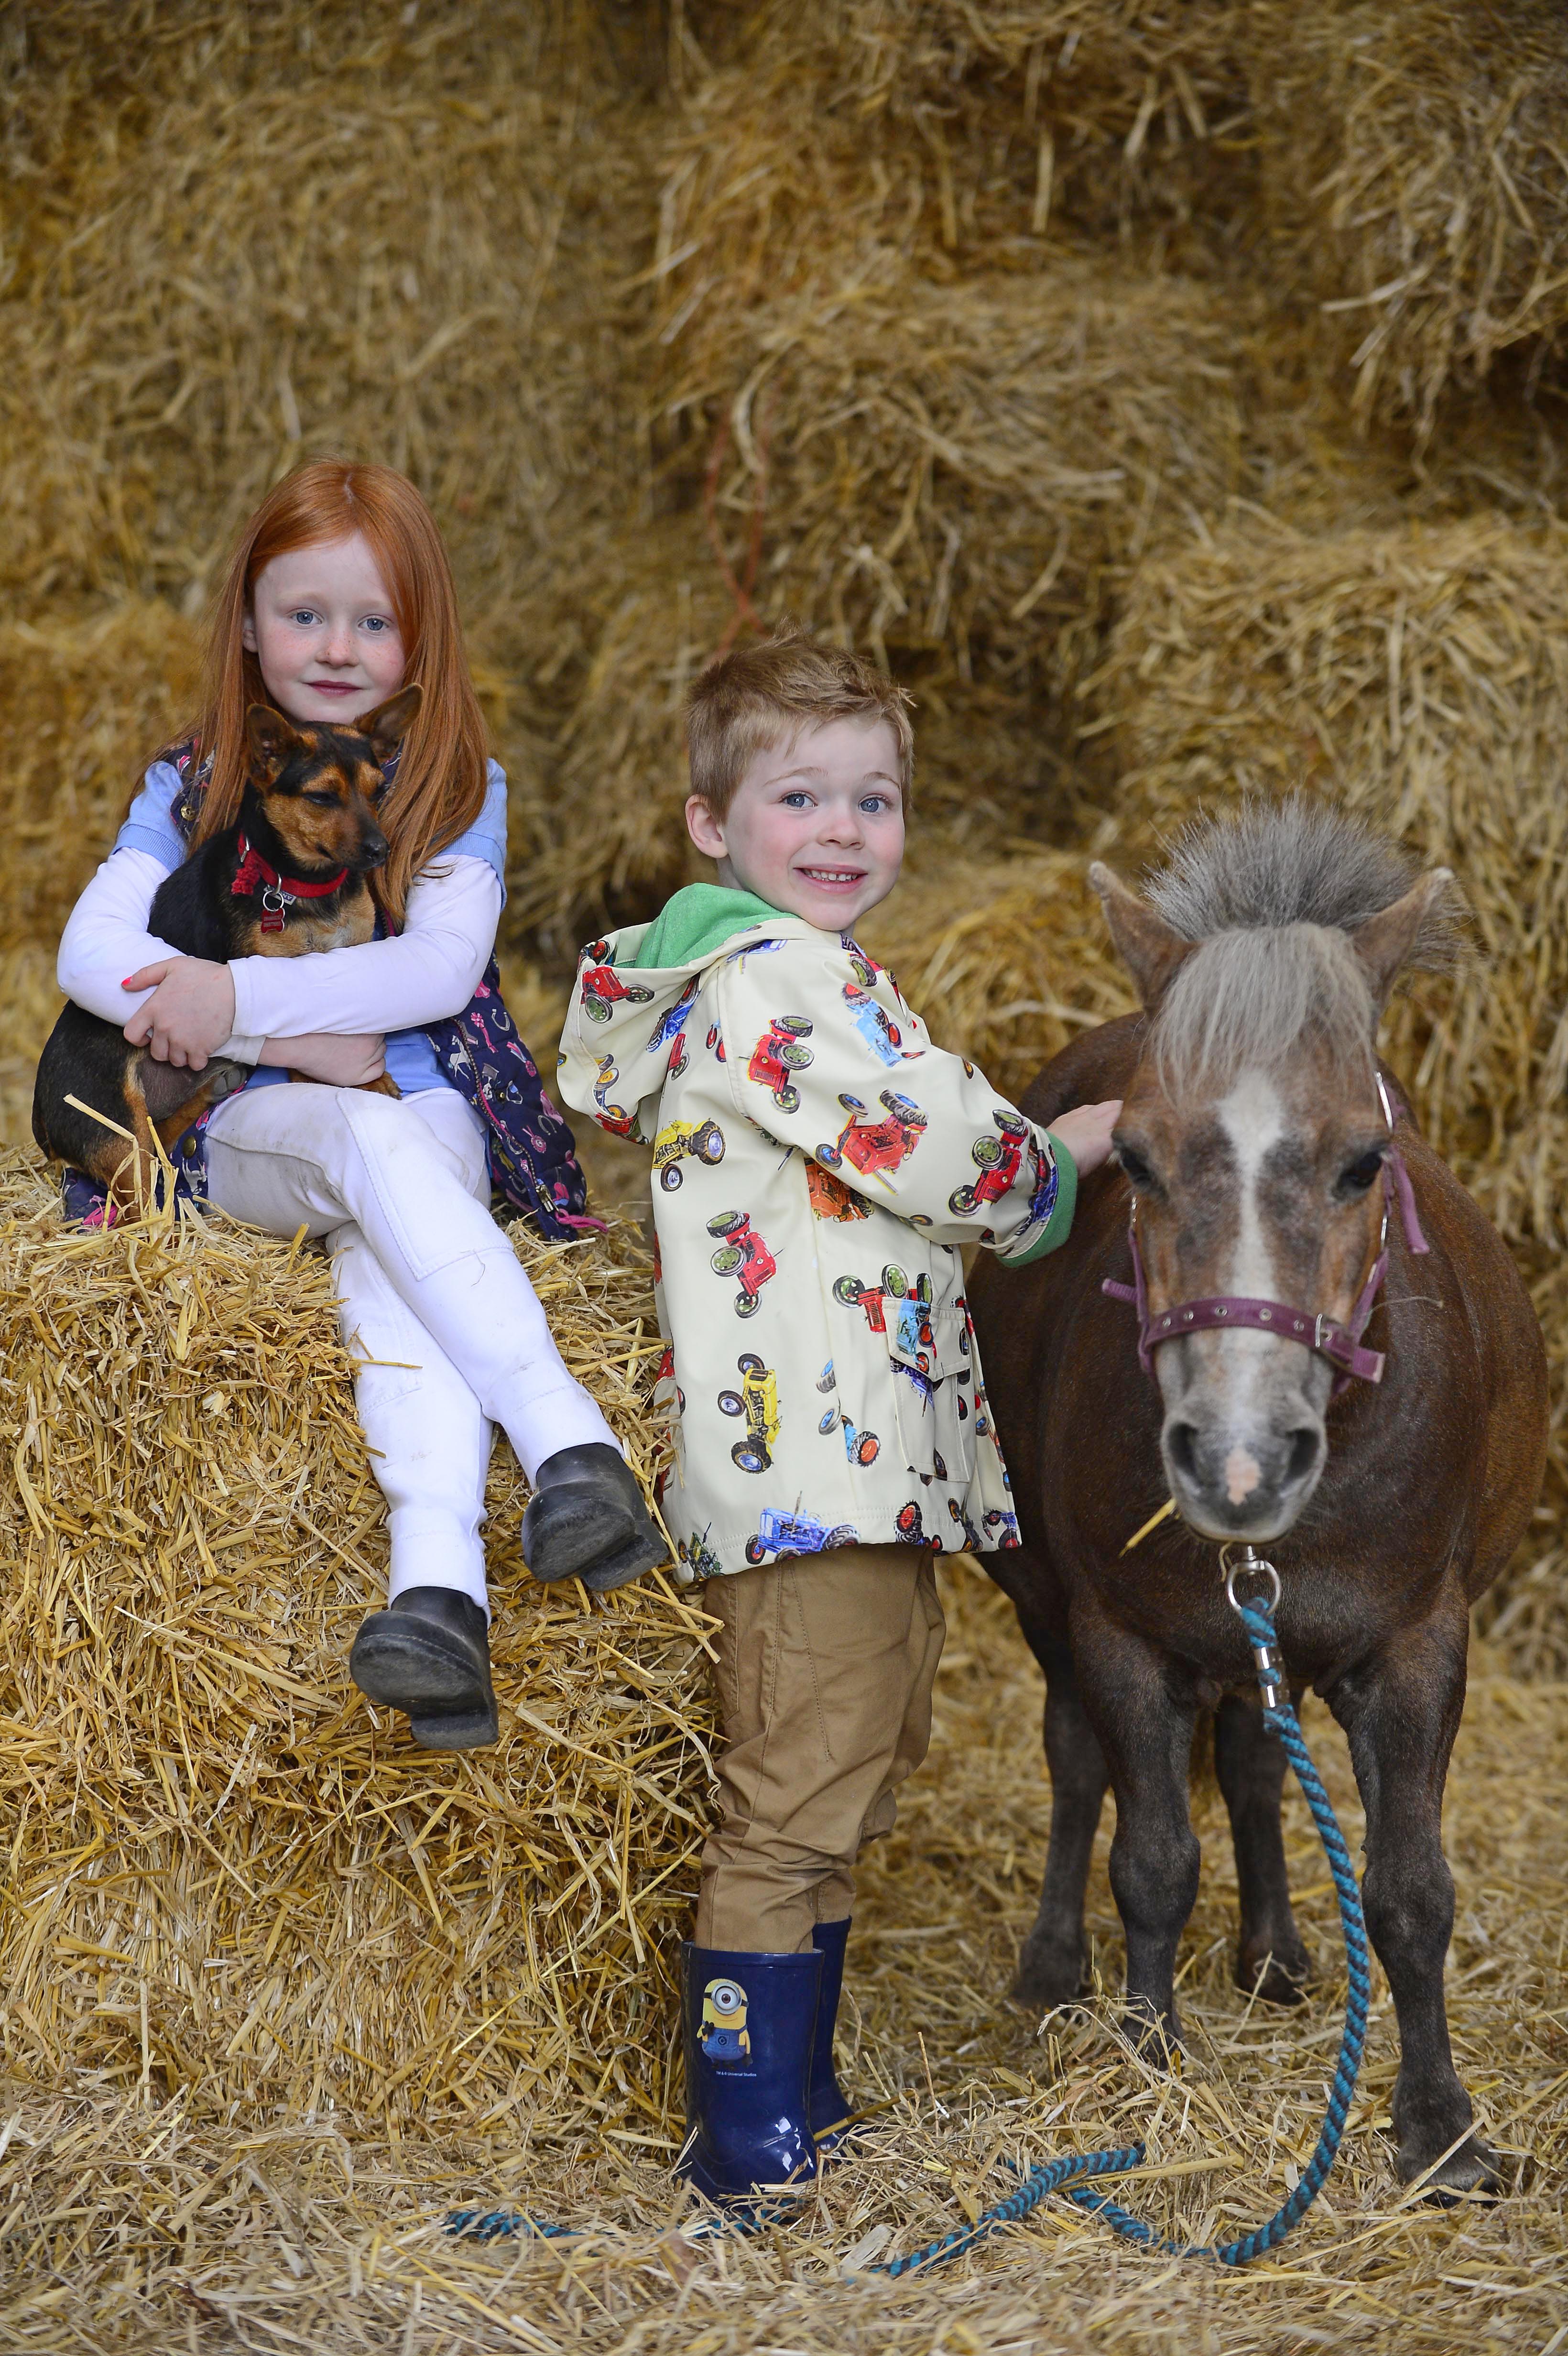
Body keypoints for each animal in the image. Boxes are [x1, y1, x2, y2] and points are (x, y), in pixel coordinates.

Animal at [967, 800, 1548, 2198]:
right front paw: (1143, 2056)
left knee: (1247, 1763)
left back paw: (1277, 1952)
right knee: (1077, 1762)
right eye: (1131, 1159)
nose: (1238, 1461)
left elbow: (1408, 1892)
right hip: (1053, 1609)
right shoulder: (1120, 1638)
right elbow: (1149, 1857)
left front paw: (1439, 2127)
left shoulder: (1415, 1648)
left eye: (1364, 1161)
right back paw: (1057, 1967)